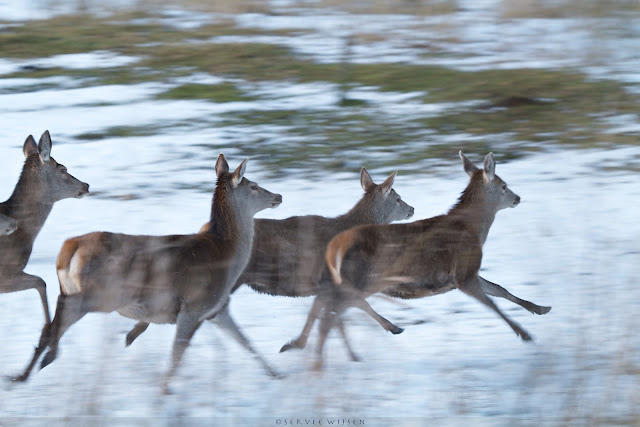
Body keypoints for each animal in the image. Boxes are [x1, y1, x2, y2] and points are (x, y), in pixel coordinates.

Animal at [13, 154, 280, 392]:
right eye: (254, 186)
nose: (278, 196)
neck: (228, 256)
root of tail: (69, 249)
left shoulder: (217, 309)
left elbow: (246, 341)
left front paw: (277, 374)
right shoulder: (195, 305)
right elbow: (176, 354)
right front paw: (163, 390)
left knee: (58, 316)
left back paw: (25, 372)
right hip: (107, 293)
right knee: (64, 307)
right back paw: (48, 355)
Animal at [125, 169, 416, 370]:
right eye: (398, 197)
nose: (412, 208)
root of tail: (206, 228)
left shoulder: (322, 284)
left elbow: (330, 315)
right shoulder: (331, 279)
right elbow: (351, 307)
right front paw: (392, 329)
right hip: (230, 280)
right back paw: (135, 331)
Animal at [288, 152, 552, 370]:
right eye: (504, 185)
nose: (518, 197)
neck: (472, 230)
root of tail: (335, 246)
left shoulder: (468, 273)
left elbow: (500, 289)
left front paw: (540, 308)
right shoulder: (463, 273)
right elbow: (492, 303)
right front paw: (524, 333)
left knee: (329, 311)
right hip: (359, 279)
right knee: (330, 315)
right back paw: (320, 358)